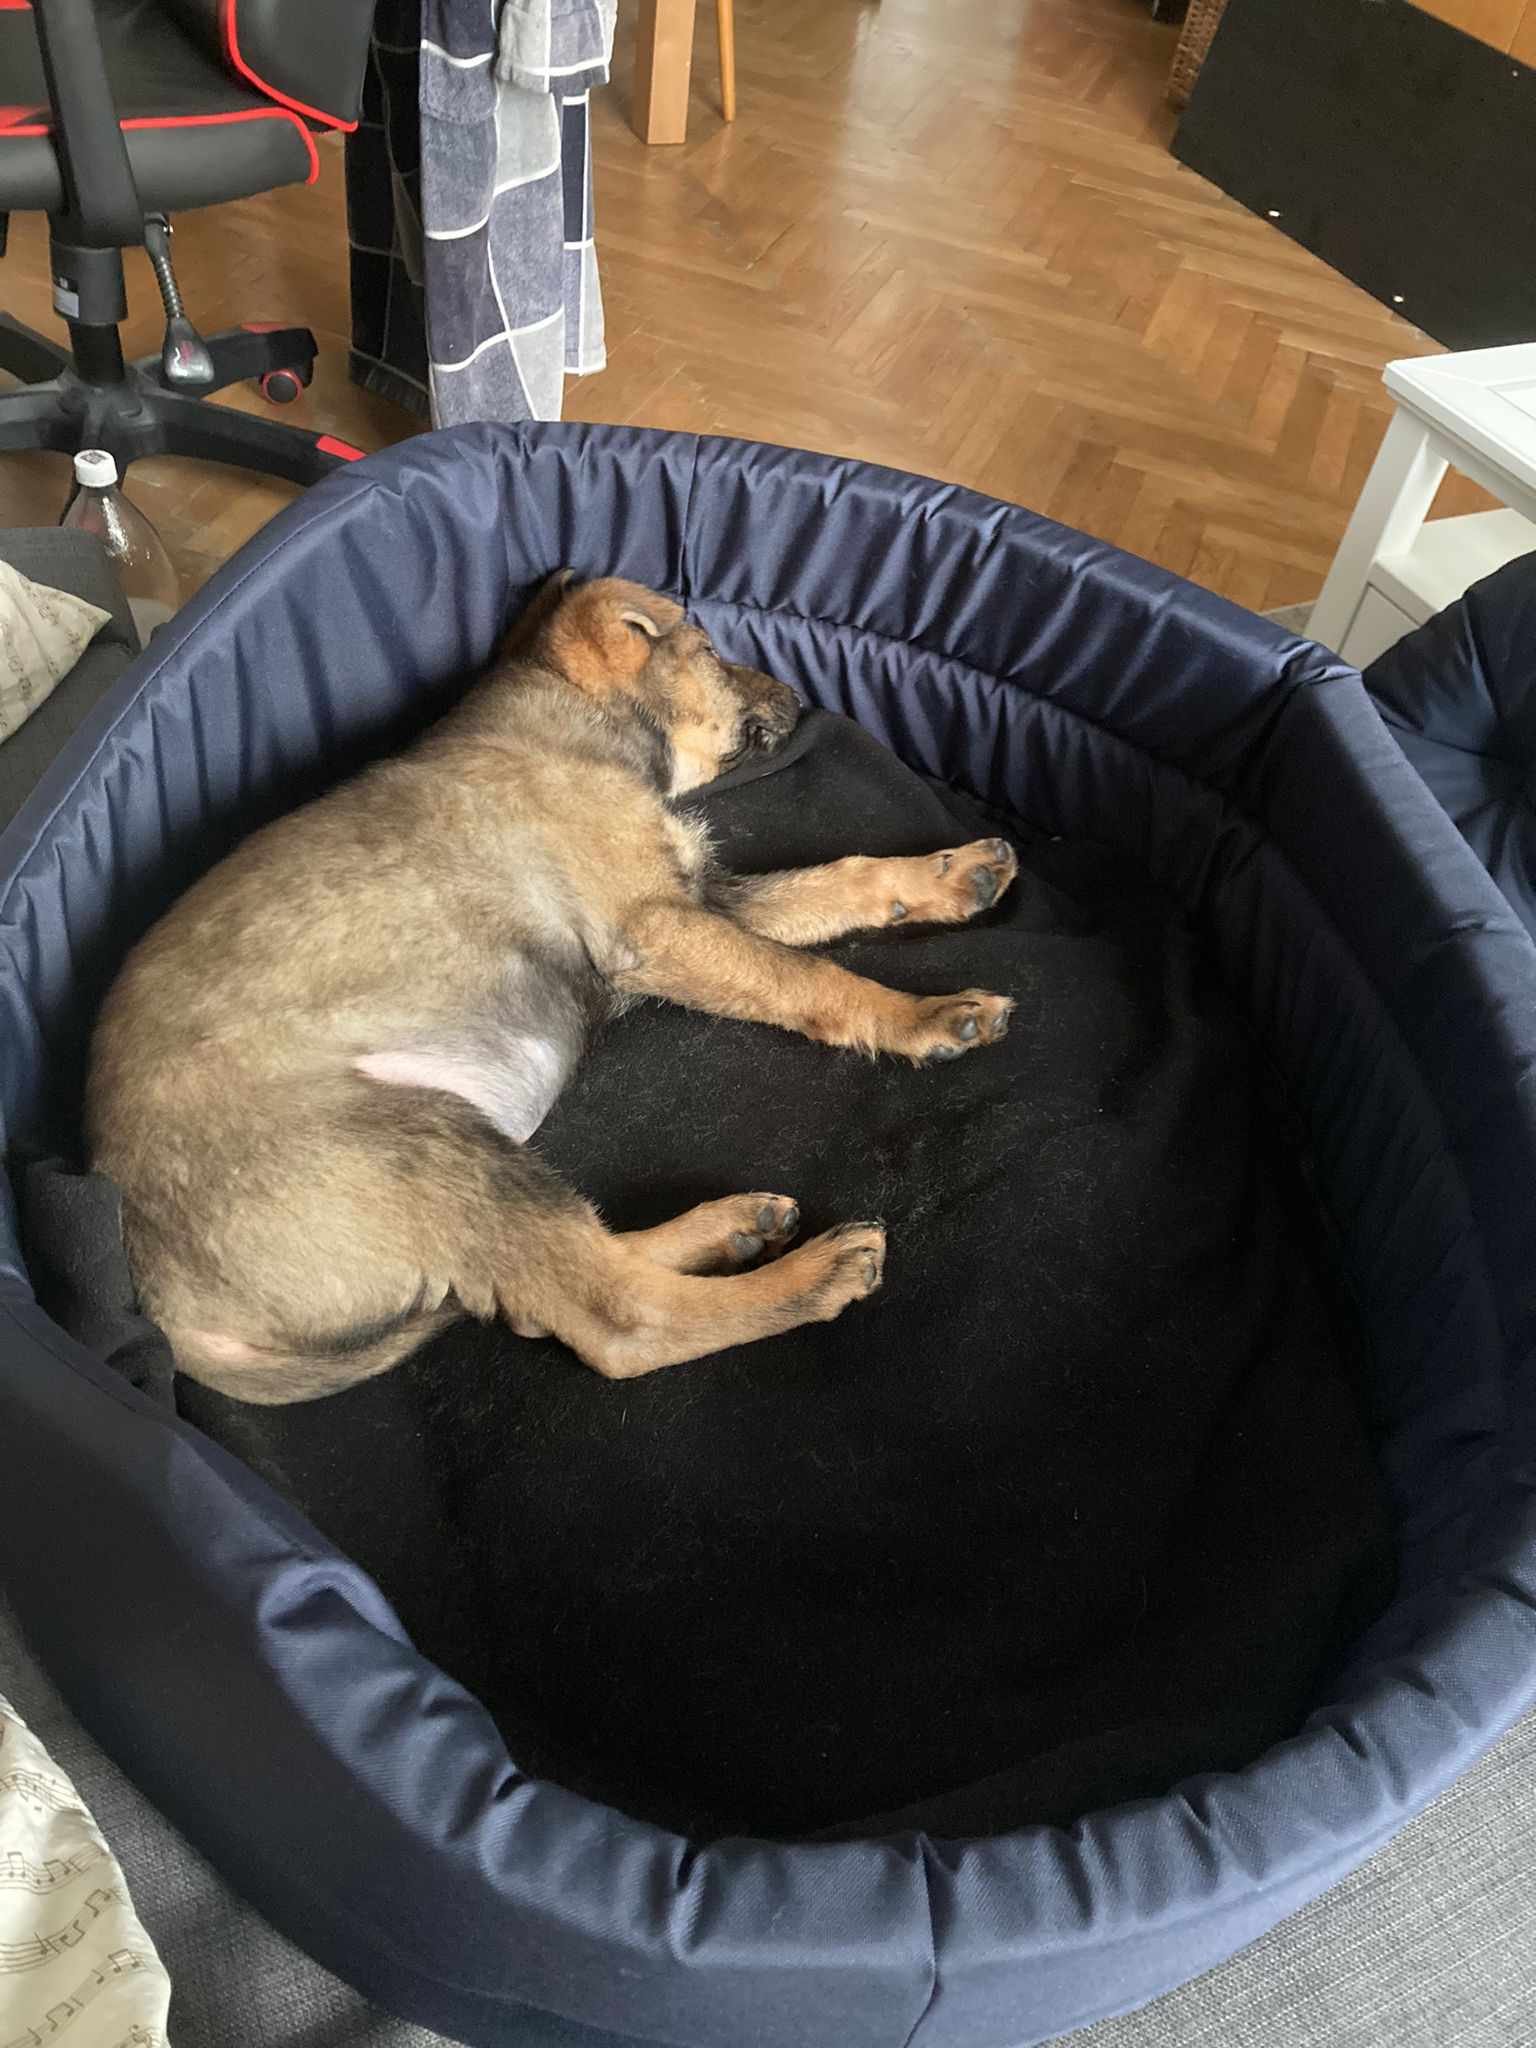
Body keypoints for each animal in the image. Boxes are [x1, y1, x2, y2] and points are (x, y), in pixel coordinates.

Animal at [86, 574, 1017, 1404]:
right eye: (710, 652)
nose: (796, 694)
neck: (574, 728)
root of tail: (171, 1314)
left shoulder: (701, 896)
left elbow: (839, 882)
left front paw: (952, 875)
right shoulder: (657, 926)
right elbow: (809, 974)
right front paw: (927, 1017)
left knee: (561, 1288)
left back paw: (729, 1229)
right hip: (428, 1143)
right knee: (620, 1319)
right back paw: (813, 1274)